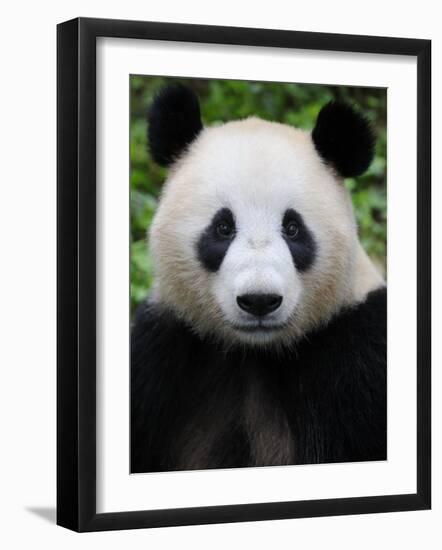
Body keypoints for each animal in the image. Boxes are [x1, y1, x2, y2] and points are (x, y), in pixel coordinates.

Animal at [131, 84, 386, 476]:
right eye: (223, 227)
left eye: (293, 228)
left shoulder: (360, 359)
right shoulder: (161, 353)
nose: (259, 300)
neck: (255, 353)